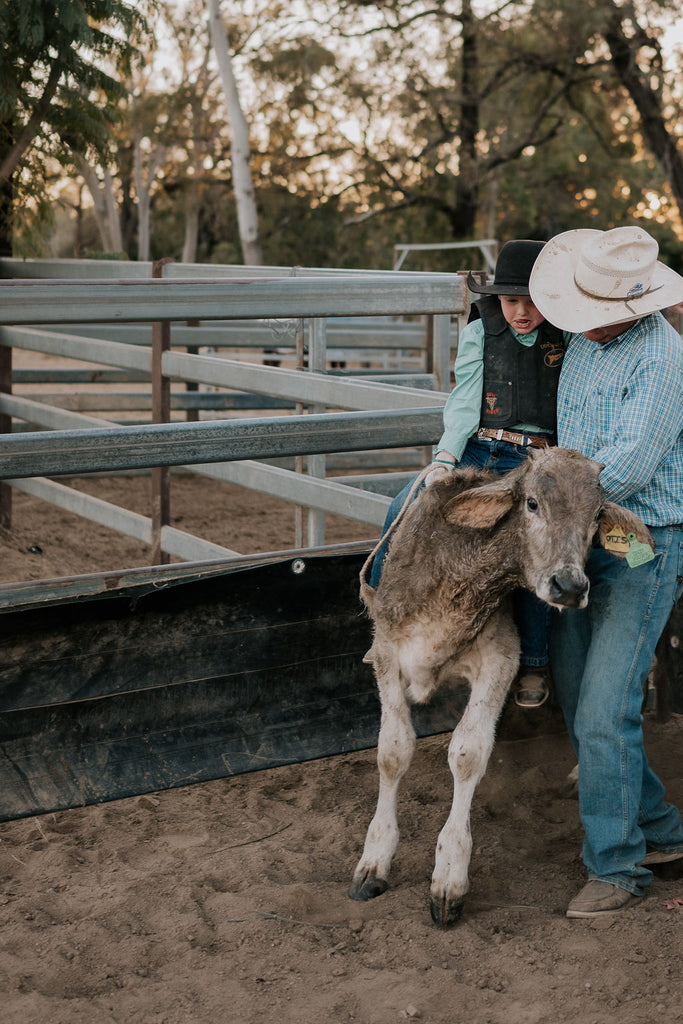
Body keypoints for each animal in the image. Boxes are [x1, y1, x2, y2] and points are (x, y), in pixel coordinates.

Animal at [350, 448, 655, 929]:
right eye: (532, 503)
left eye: (596, 517)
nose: (570, 587)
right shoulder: (387, 656)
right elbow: (393, 751)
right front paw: (374, 861)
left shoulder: (500, 661)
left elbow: (467, 753)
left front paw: (449, 877)